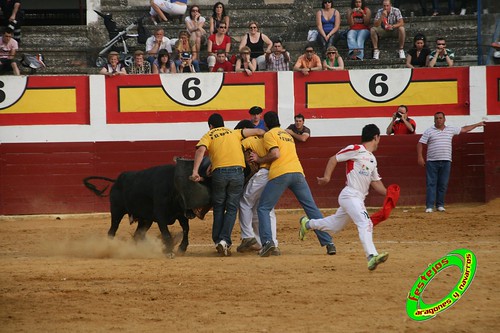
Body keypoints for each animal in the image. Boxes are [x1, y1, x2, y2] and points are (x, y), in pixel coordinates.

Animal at [83, 157, 212, 255]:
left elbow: (186, 229)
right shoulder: (161, 216)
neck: (171, 187)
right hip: (117, 211)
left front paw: (181, 248)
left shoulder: (180, 215)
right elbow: (166, 233)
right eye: (184, 194)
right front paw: (169, 251)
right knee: (112, 230)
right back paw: (110, 247)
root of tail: (117, 180)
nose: (192, 213)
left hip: (145, 220)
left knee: (137, 234)